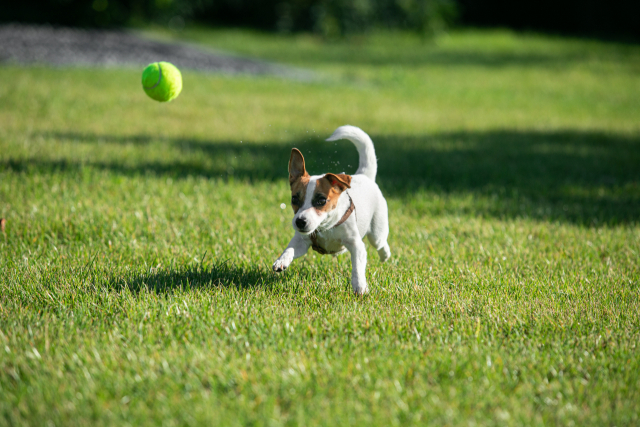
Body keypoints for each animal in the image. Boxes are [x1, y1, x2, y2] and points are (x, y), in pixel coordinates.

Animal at [272, 125, 390, 296]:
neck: (325, 228)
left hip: (377, 232)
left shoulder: (356, 245)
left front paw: (360, 286)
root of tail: (364, 176)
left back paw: (385, 255)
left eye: (321, 201)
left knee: (381, 243)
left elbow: (357, 267)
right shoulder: (302, 241)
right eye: (294, 199)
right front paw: (281, 261)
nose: (300, 222)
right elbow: (290, 249)